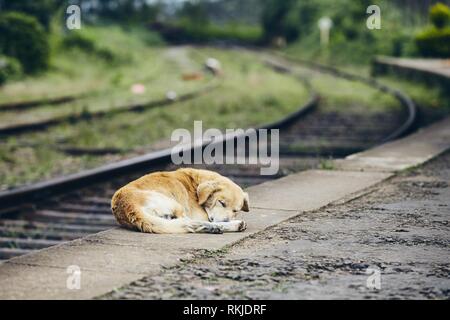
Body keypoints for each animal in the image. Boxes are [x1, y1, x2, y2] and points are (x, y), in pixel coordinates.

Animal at [110, 169, 248, 234]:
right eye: (221, 203)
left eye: (235, 210)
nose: (226, 220)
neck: (196, 184)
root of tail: (128, 206)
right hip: (174, 204)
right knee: (188, 222)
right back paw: (225, 226)